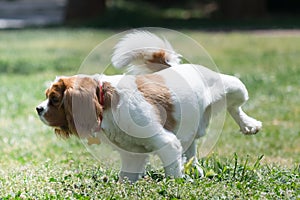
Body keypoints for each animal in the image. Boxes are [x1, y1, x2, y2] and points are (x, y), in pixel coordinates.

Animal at [35, 30, 262, 182]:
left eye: (54, 99)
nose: (38, 109)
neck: (105, 102)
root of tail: (174, 67)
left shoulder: (166, 143)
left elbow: (172, 172)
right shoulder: (131, 155)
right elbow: (127, 177)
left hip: (234, 86)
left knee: (235, 106)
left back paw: (249, 125)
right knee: (191, 150)